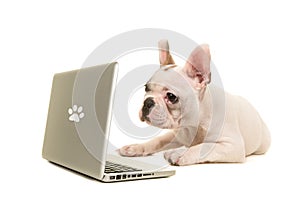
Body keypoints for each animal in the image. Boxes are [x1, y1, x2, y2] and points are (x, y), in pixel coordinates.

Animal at [118, 39, 270, 166]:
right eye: (146, 88)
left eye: (171, 96)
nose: (147, 102)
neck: (193, 124)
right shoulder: (176, 135)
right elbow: (158, 140)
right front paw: (136, 147)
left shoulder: (233, 145)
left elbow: (204, 146)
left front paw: (180, 152)